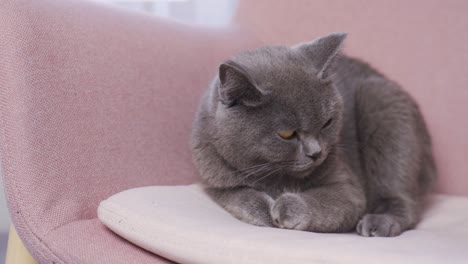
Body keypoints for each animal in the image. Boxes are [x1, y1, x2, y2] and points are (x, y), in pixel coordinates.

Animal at [189, 33, 436, 237]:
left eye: (327, 122)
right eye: (287, 134)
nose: (316, 153)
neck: (274, 174)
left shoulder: (348, 188)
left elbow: (328, 201)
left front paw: (286, 208)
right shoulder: (216, 180)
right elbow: (241, 195)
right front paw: (265, 209)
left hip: (380, 100)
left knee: (403, 198)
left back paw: (380, 222)